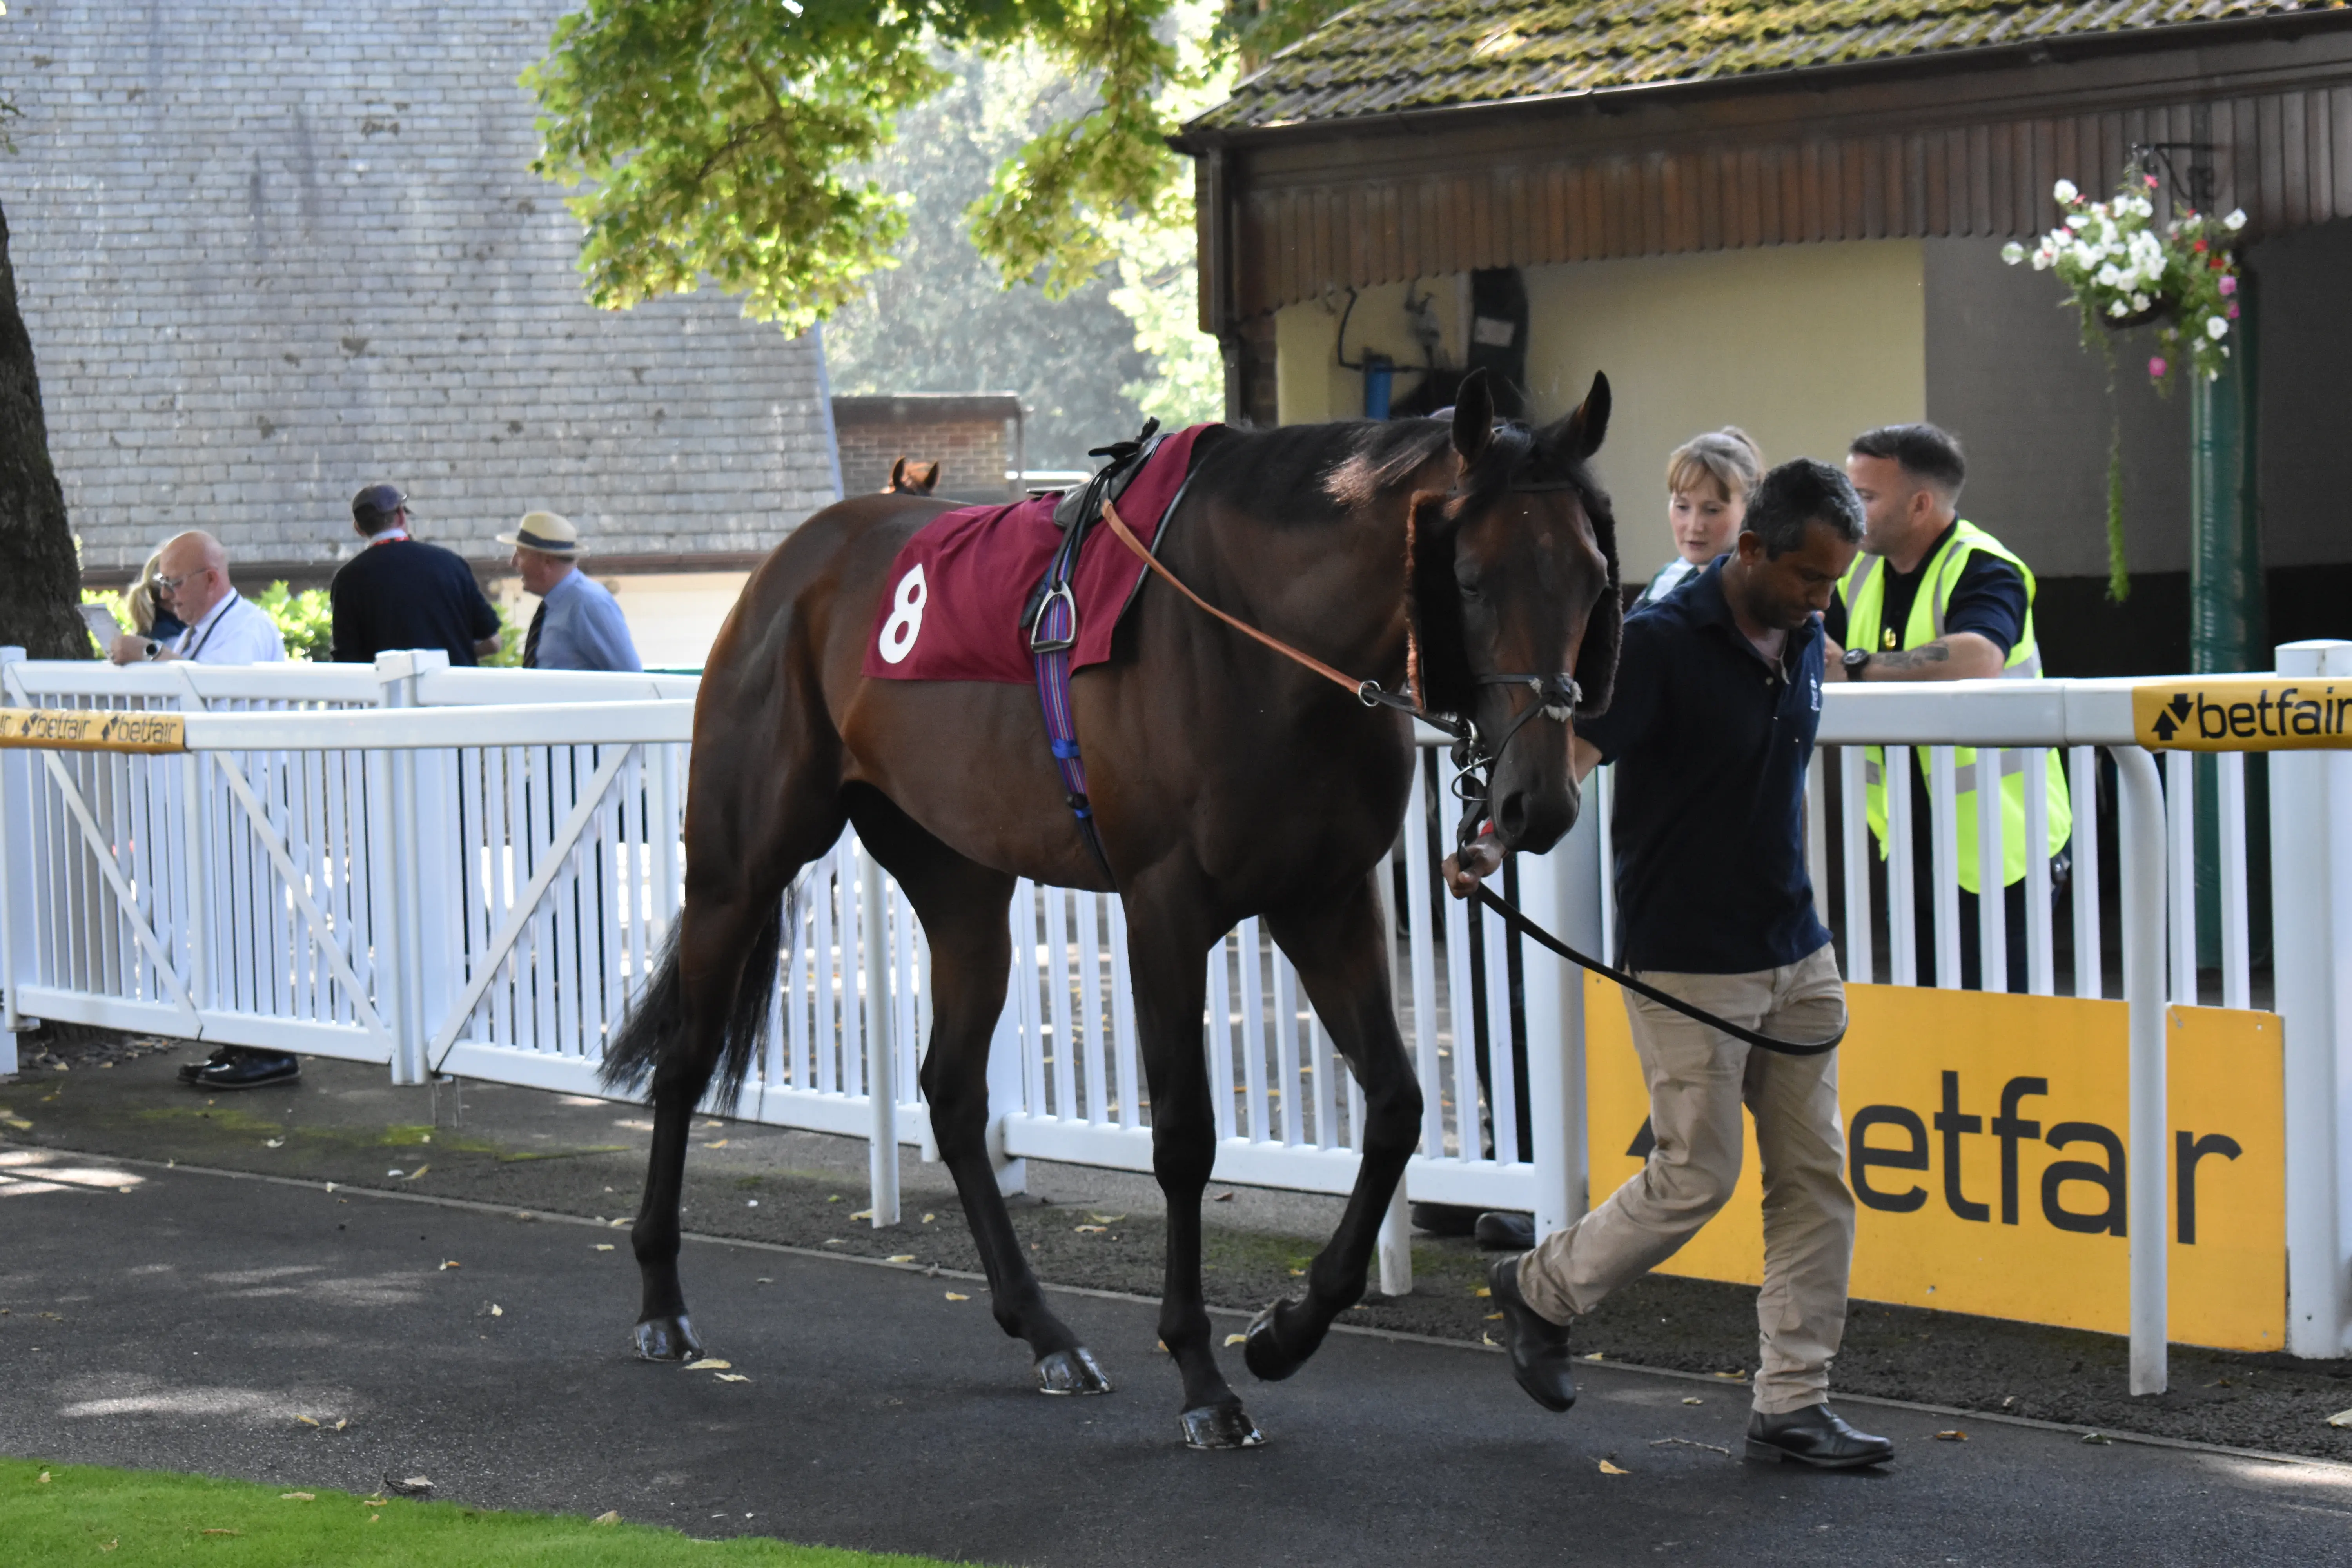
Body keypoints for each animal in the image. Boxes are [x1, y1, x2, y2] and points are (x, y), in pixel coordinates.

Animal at [607, 369, 1618, 1448]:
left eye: (1594, 576)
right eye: (1468, 577)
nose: (1540, 800)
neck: (1260, 635)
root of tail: (793, 563)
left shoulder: (1326, 902)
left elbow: (1395, 1108)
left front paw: (1286, 1330)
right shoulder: (1164, 906)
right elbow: (1185, 1137)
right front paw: (1203, 1376)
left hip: (960, 882)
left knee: (953, 1092)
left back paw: (1044, 1329)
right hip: (739, 866)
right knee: (683, 1060)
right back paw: (661, 1303)